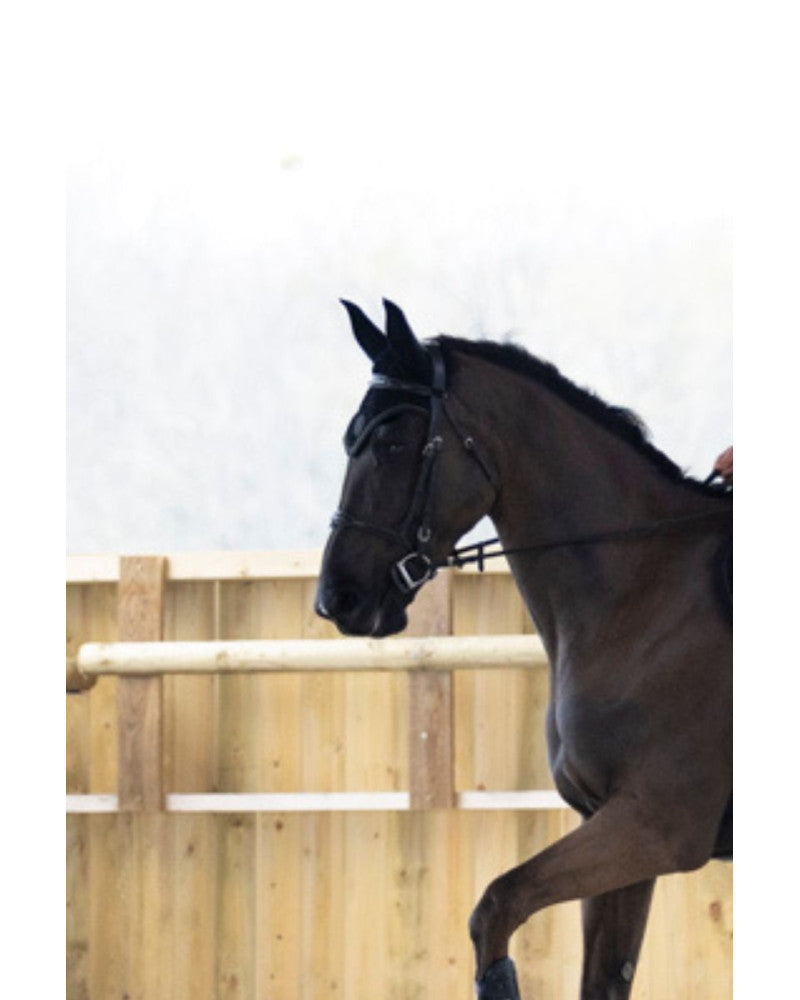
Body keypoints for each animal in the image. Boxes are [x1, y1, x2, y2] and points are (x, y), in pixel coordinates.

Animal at [315, 299, 732, 1000]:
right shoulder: (612, 831)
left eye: (394, 443)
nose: (337, 598)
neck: (643, 594)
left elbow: (496, 906)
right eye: (351, 441)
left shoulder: (653, 826)